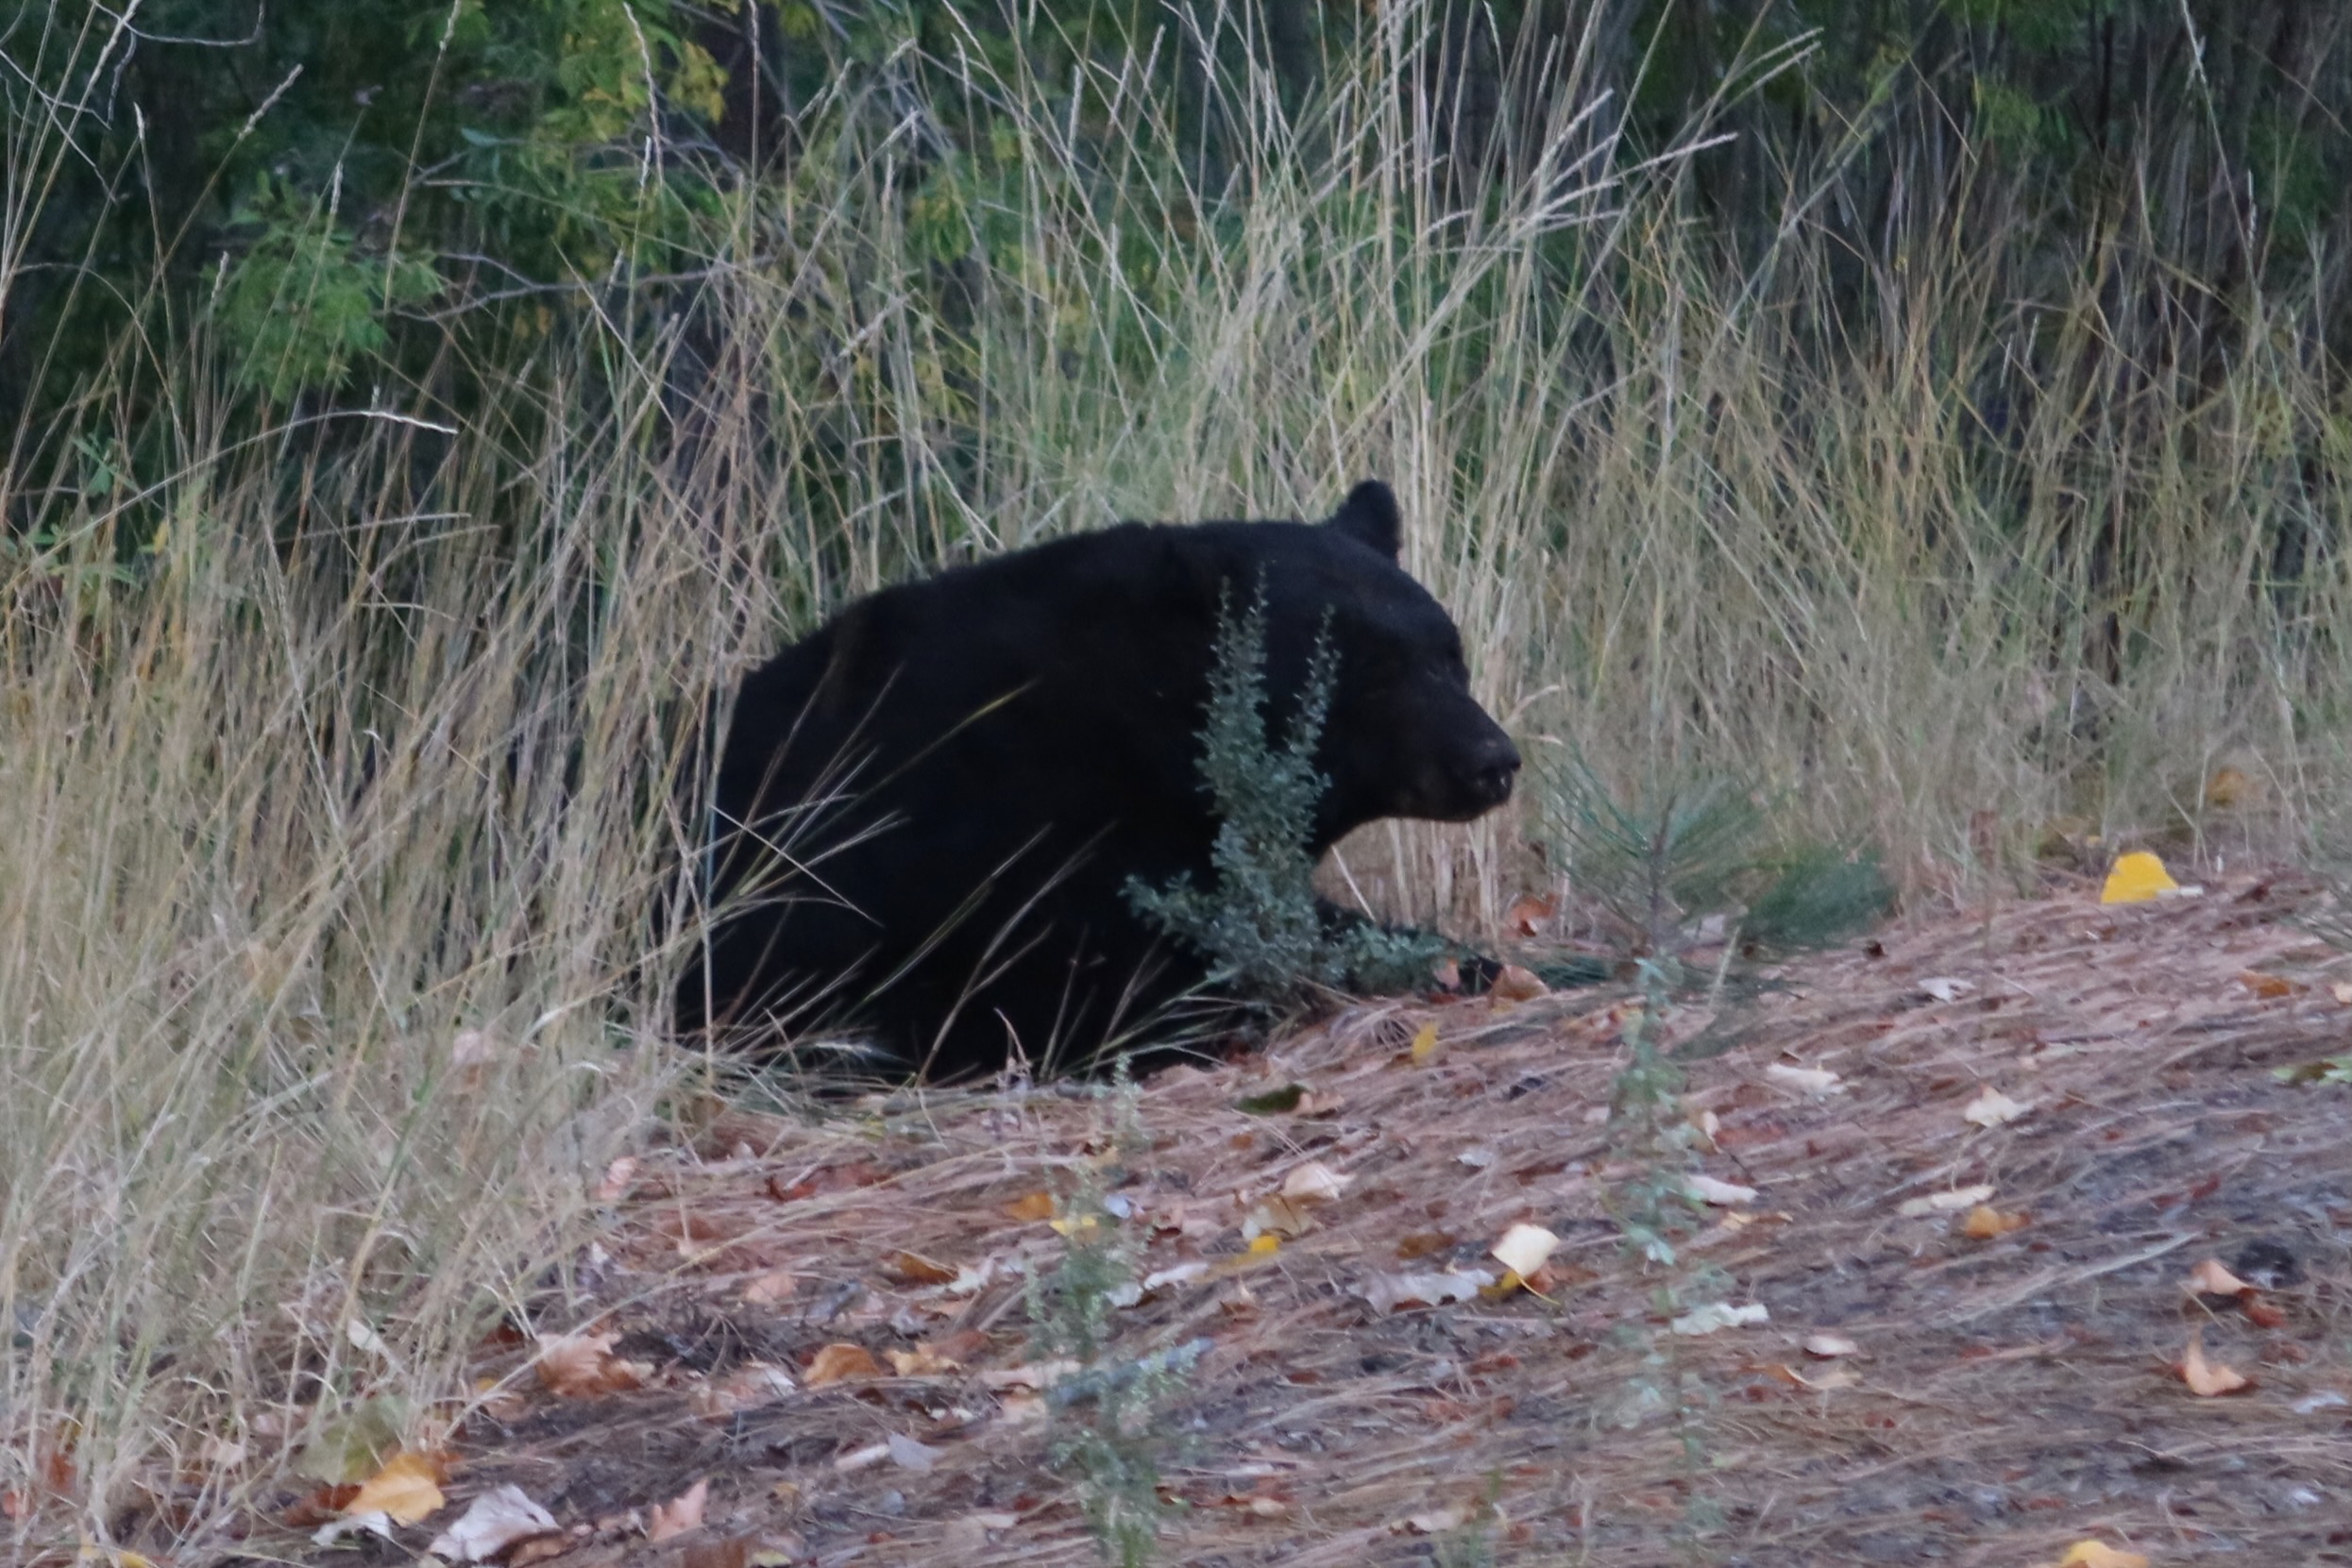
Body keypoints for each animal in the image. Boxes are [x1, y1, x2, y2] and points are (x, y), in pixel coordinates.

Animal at [674, 480, 1520, 1080]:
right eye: (1367, 674)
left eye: (1449, 654)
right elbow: (1079, 983)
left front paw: (1462, 959)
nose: (1492, 760)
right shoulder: (988, 834)